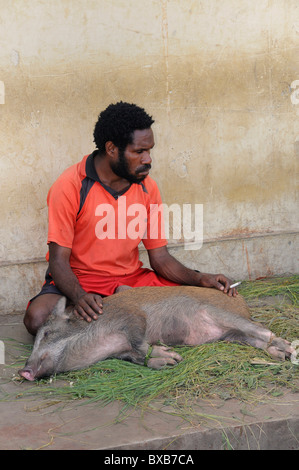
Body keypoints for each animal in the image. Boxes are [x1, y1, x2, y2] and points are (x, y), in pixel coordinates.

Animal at [18, 284, 296, 380]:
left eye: (46, 334)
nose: (24, 370)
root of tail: (243, 303)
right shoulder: (121, 353)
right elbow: (137, 357)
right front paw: (168, 361)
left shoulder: (132, 318)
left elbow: (141, 343)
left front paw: (173, 357)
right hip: (231, 335)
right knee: (255, 340)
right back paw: (279, 355)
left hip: (224, 314)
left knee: (265, 331)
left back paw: (290, 351)